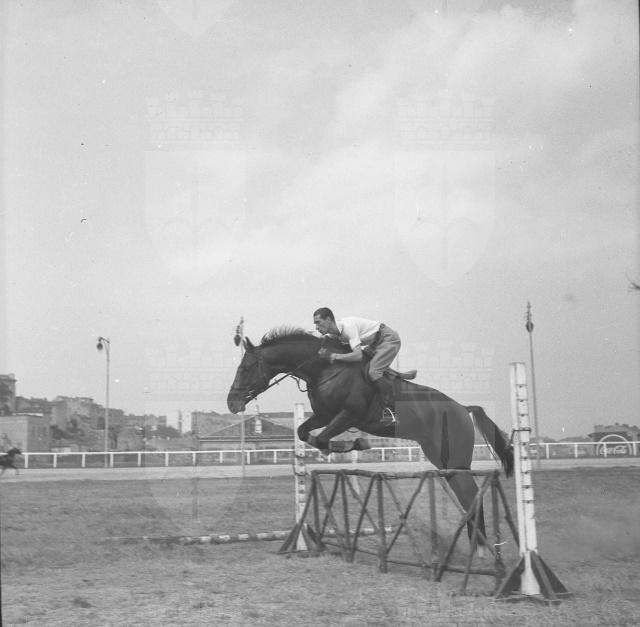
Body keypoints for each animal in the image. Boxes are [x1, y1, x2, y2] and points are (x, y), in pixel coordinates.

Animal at [227, 327, 514, 547]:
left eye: (247, 367)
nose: (232, 402)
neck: (325, 368)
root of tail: (464, 409)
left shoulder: (349, 415)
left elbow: (322, 438)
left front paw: (355, 443)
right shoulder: (323, 415)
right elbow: (304, 433)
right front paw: (338, 448)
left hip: (455, 460)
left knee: (472, 495)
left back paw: (479, 546)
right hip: (442, 460)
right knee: (468, 496)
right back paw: (476, 544)